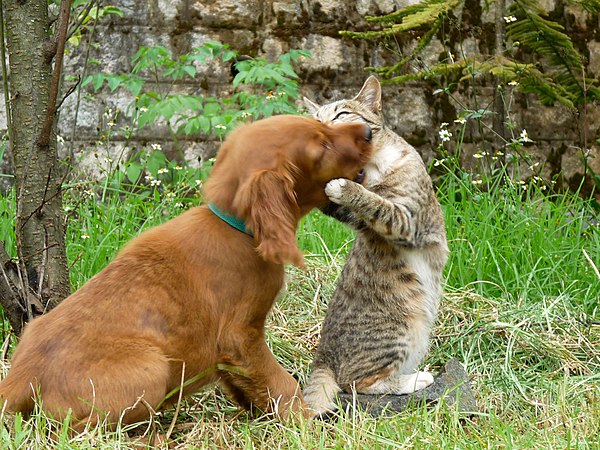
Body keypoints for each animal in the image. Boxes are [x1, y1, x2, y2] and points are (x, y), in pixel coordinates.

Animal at [0, 114, 372, 428]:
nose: (369, 131)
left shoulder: (228, 353)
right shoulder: (242, 335)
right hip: (151, 366)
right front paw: (307, 421)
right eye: (321, 146)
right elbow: (280, 382)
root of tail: (19, 378)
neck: (235, 227)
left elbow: (246, 384)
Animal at [302, 76, 448, 414]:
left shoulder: (407, 222)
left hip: (403, 329)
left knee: (357, 383)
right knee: (356, 382)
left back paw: (414, 379)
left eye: (341, 115)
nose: (320, 133)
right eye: (315, 120)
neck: (370, 170)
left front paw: (344, 187)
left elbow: (376, 203)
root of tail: (322, 358)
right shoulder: (362, 222)